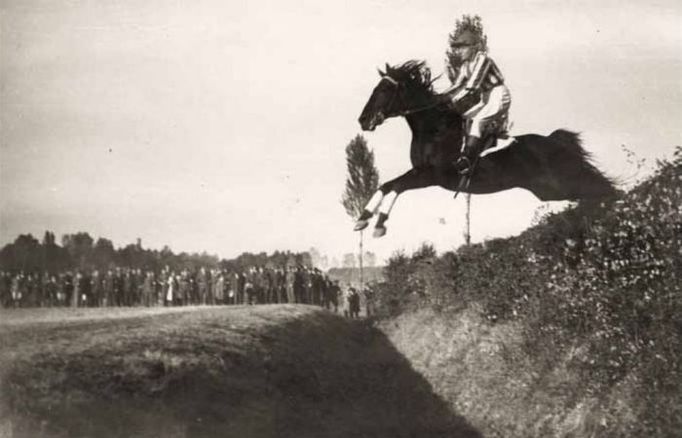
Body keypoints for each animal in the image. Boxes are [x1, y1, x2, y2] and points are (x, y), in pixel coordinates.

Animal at [354, 60, 612, 238]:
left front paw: (379, 224)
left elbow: (397, 187)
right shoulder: (420, 172)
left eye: (383, 91)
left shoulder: (431, 175)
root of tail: (553, 141)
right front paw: (363, 218)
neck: (434, 129)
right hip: (549, 190)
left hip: (561, 184)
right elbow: (386, 185)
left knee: (603, 188)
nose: (363, 120)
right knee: (597, 190)